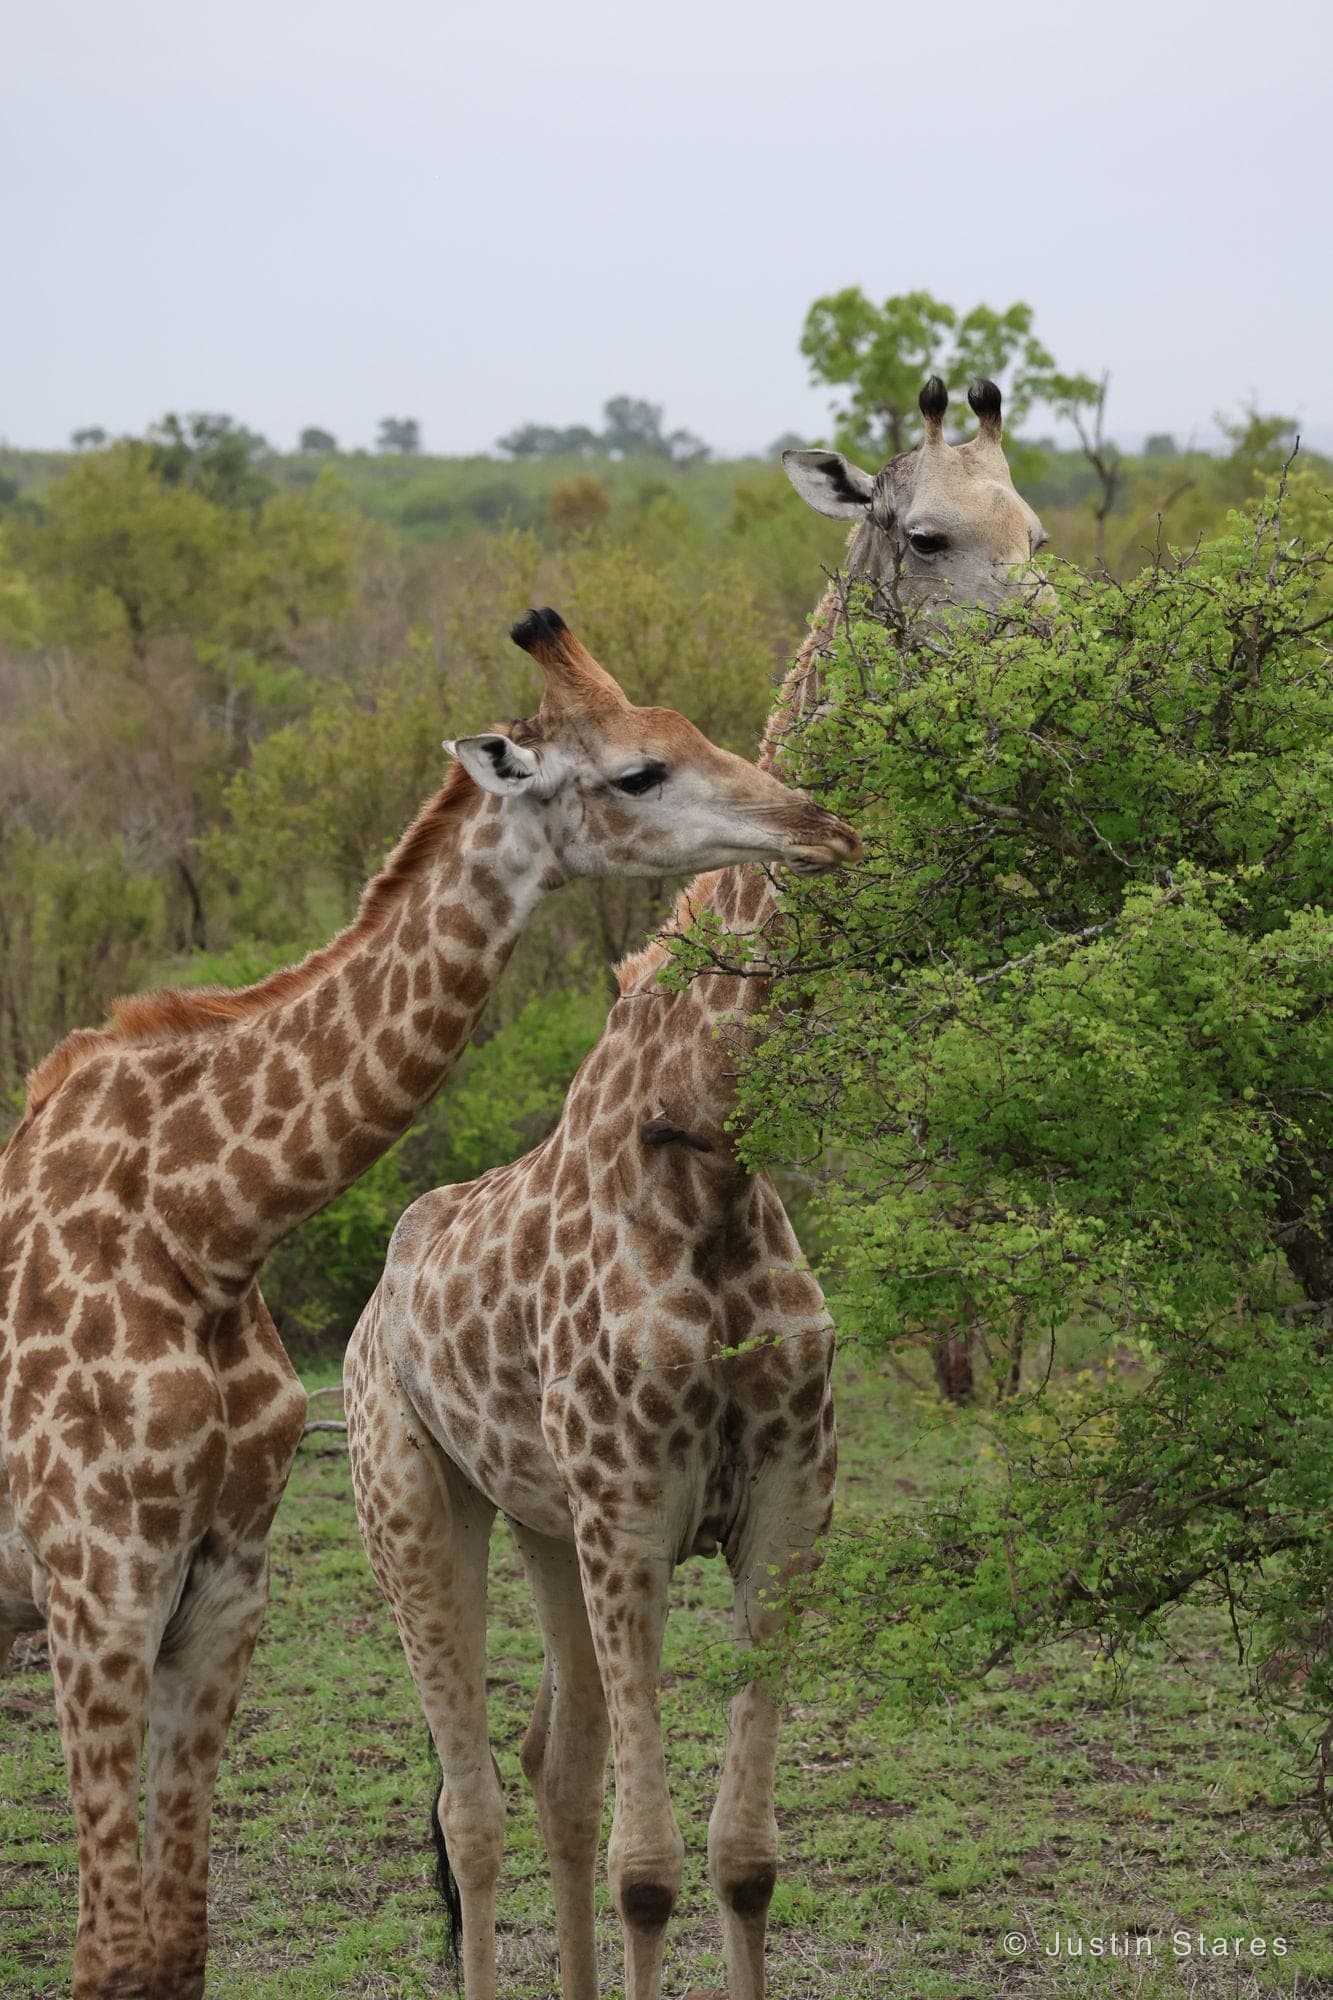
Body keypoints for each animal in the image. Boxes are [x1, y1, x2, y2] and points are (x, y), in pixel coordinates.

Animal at [0, 606, 858, 2000]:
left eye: (688, 730)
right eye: (638, 772)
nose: (815, 820)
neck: (202, 1224)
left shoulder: (217, 1600)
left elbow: (175, 1944)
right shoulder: (98, 1593)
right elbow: (113, 1954)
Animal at [344, 380, 1046, 2000]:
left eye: (1038, 528)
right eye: (928, 536)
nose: (1056, 660)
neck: (713, 1141)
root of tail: (378, 1283)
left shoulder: (783, 1507)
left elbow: (739, 1857)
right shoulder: (634, 1517)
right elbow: (652, 1868)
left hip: (538, 1524)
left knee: (554, 1767)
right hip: (411, 1502)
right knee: (472, 1807)